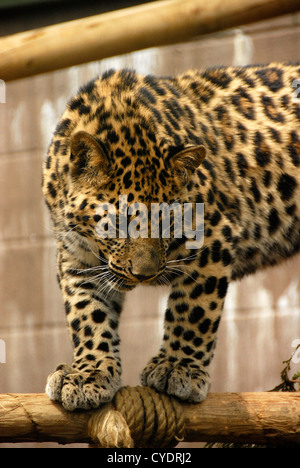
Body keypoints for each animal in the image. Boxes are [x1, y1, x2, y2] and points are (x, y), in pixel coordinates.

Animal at [42, 65, 300, 410]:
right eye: (118, 222)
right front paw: (89, 374)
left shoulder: (213, 237)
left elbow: (195, 310)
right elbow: (87, 314)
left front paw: (178, 368)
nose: (145, 275)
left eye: (168, 221)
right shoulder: (76, 257)